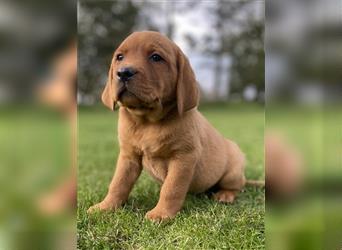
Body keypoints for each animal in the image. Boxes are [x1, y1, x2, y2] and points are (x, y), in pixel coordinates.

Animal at [88, 31, 247, 221]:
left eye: (156, 57)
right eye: (119, 57)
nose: (124, 72)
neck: (147, 121)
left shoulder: (184, 157)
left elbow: (172, 188)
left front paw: (161, 214)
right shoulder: (128, 156)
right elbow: (118, 183)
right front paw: (105, 206)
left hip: (233, 171)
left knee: (236, 186)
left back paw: (225, 195)